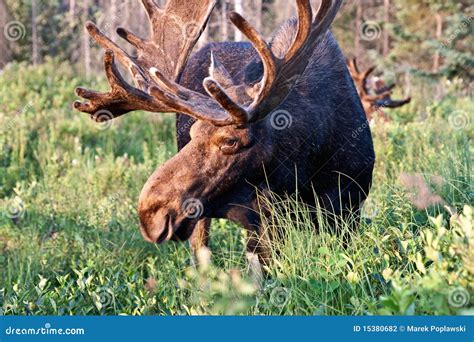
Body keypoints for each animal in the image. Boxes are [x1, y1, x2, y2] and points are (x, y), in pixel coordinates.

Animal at [74, 0, 376, 274]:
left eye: (231, 141)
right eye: (193, 132)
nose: (150, 213)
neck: (311, 164)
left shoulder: (349, 209)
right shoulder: (267, 220)